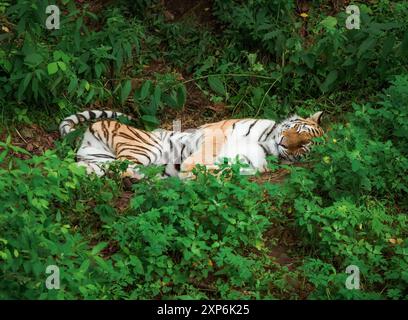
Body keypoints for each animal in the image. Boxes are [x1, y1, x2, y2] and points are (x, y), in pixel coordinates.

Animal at [58, 110, 326, 180]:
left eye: (303, 147)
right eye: (299, 131)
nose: (285, 143)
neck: (267, 141)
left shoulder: (249, 165)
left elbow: (224, 171)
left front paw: (191, 174)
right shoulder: (219, 130)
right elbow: (207, 152)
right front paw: (188, 168)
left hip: (96, 164)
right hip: (146, 147)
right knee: (124, 168)